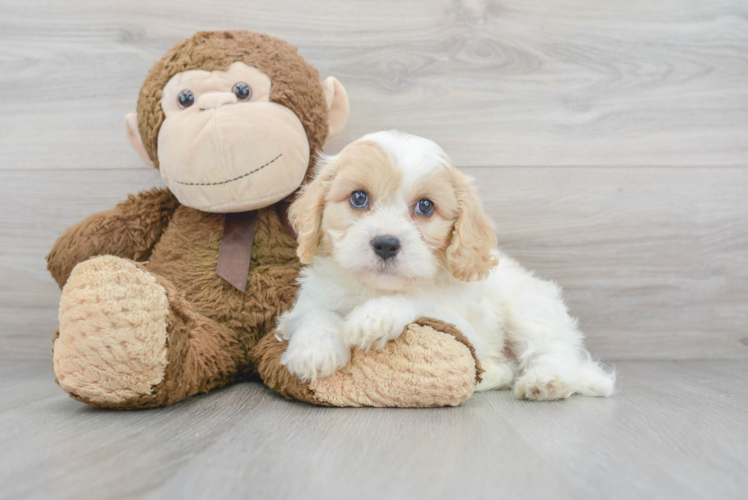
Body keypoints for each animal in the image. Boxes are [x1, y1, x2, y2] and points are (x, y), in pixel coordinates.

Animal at [278, 131, 616, 400]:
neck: (375, 287)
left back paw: (546, 381)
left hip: (529, 309)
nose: (386, 244)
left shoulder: (464, 327)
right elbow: (315, 314)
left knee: (554, 350)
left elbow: (418, 300)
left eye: (425, 206)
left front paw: (373, 317)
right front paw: (313, 350)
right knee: (509, 367)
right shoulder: (306, 304)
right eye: (358, 198)